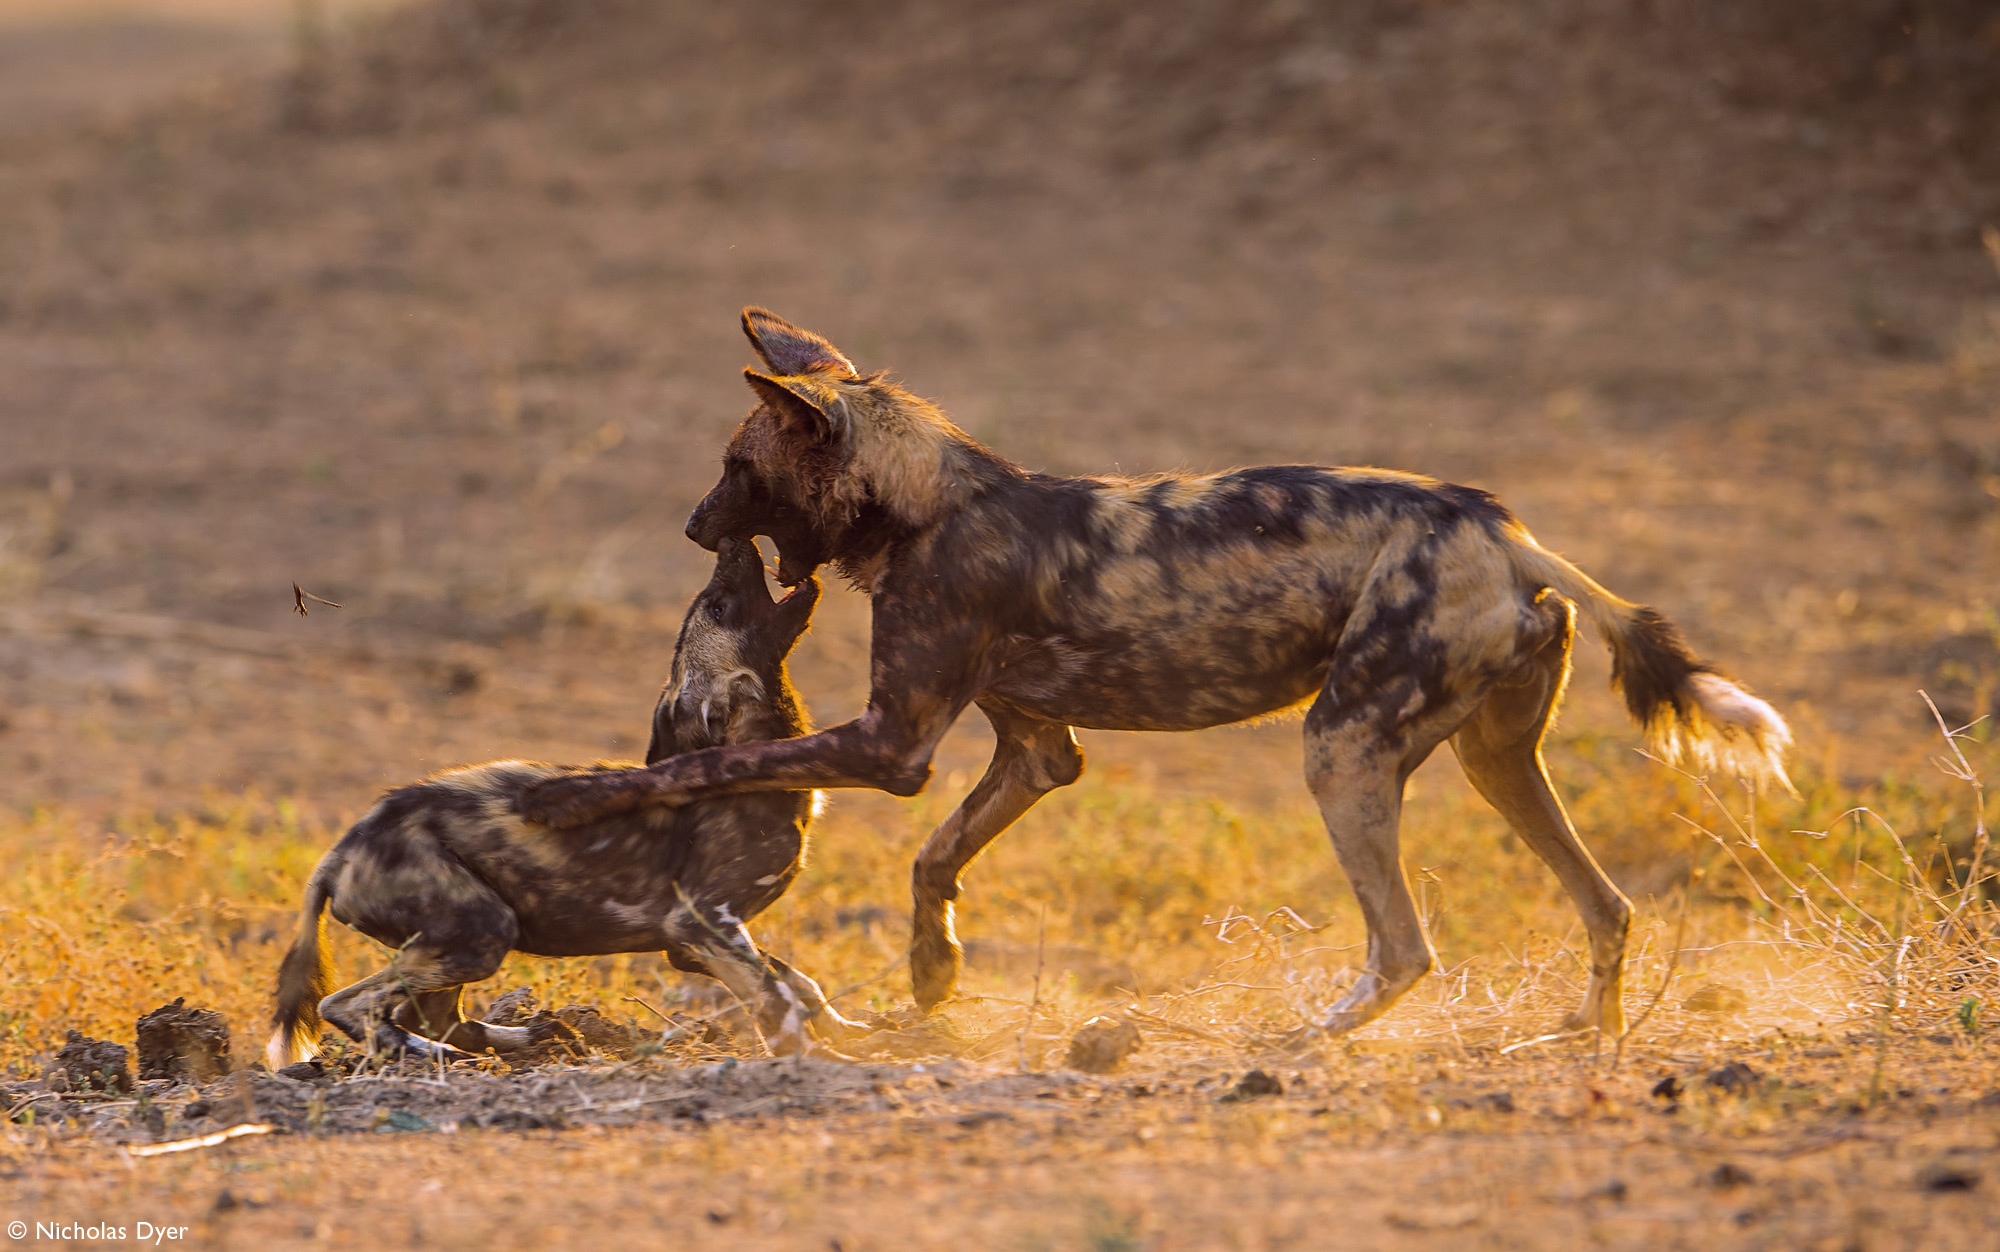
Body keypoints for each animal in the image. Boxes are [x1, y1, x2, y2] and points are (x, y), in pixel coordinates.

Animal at [268, 536, 860, 1064]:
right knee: (349, 1006)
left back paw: (528, 1040)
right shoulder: (699, 925)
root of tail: (340, 853)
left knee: (432, 1016)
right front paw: (823, 1062)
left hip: (460, 941)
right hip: (480, 930)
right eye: (720, 606)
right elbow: (777, 999)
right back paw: (434, 1054)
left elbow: (797, 981)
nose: (735, 542)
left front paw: (850, 1031)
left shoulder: (700, 940)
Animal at [520, 308, 1800, 1040]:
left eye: (736, 468)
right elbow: (935, 862)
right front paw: (932, 974)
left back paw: (1298, 1046)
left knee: (1402, 945)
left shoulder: (889, 744)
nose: (693, 526)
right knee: (1607, 904)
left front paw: (578, 794)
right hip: (1493, 762)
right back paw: (1580, 1036)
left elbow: (712, 766)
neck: (930, 501)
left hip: (1340, 752)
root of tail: (1502, 527)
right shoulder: (1034, 752)